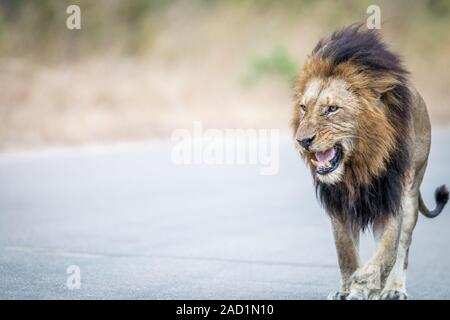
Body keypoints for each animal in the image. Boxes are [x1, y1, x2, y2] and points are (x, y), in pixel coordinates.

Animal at [290, 25, 448, 300]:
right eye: (303, 108)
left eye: (332, 109)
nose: (303, 141)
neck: (357, 166)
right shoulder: (339, 205)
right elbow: (345, 253)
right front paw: (346, 290)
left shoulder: (391, 199)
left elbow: (387, 252)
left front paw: (365, 282)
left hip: (411, 192)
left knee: (402, 249)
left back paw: (393, 288)